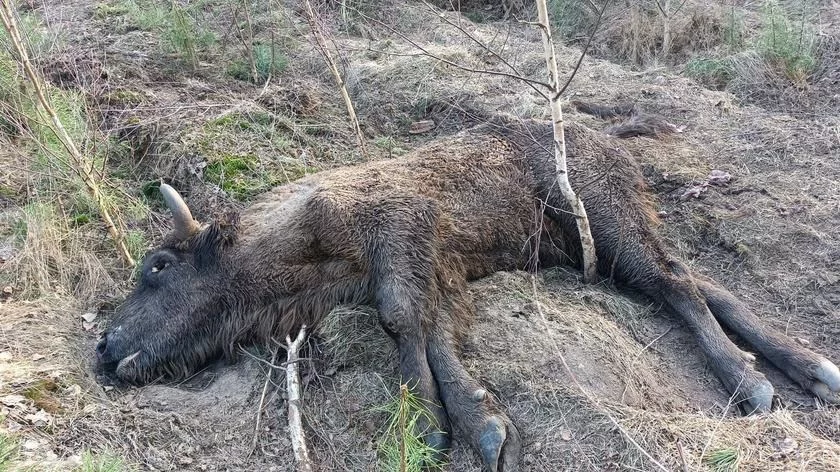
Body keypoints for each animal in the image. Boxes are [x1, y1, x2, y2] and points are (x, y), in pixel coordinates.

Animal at [95, 115, 836, 472]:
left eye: (159, 265)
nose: (105, 346)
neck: (294, 241)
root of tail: (605, 135)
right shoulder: (434, 266)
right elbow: (431, 328)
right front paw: (473, 422)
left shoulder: (404, 237)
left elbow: (405, 321)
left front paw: (437, 425)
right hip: (591, 249)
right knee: (701, 283)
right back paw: (813, 369)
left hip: (610, 223)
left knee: (679, 283)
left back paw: (751, 383)